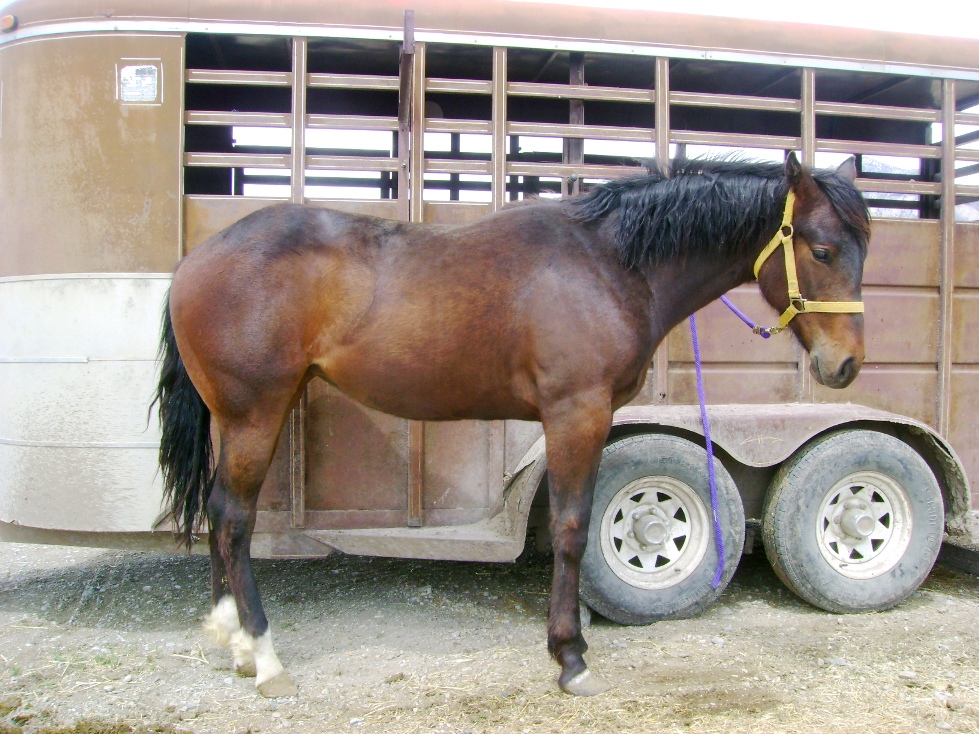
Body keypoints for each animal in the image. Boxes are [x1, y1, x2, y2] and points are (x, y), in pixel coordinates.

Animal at [155, 152, 872, 700]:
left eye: (862, 250)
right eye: (822, 249)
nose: (844, 365)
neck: (610, 263)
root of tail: (195, 261)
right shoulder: (576, 413)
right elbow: (571, 529)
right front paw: (570, 658)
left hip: (237, 418)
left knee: (218, 510)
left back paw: (234, 642)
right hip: (254, 413)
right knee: (235, 518)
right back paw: (264, 656)